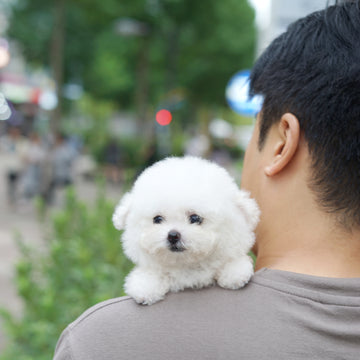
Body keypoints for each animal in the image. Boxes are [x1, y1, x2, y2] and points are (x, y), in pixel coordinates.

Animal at [112, 156, 258, 306]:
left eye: (195, 218)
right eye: (157, 219)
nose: (173, 235)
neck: (185, 265)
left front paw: (235, 271)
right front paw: (145, 286)